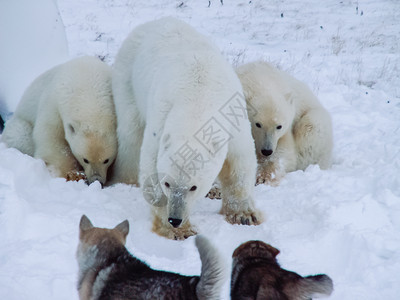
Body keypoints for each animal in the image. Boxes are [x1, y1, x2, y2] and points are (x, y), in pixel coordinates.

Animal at [2, 55, 116, 184]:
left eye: (106, 160)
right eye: (85, 159)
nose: (97, 180)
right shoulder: (54, 105)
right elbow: (52, 140)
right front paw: (67, 173)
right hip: (20, 124)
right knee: (19, 135)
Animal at [111, 17, 260, 240]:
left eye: (193, 187)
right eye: (167, 184)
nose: (175, 219)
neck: (198, 96)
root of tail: (151, 22)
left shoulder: (232, 116)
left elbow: (239, 162)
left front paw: (244, 215)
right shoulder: (161, 117)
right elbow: (151, 167)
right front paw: (180, 230)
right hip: (128, 79)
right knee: (131, 133)